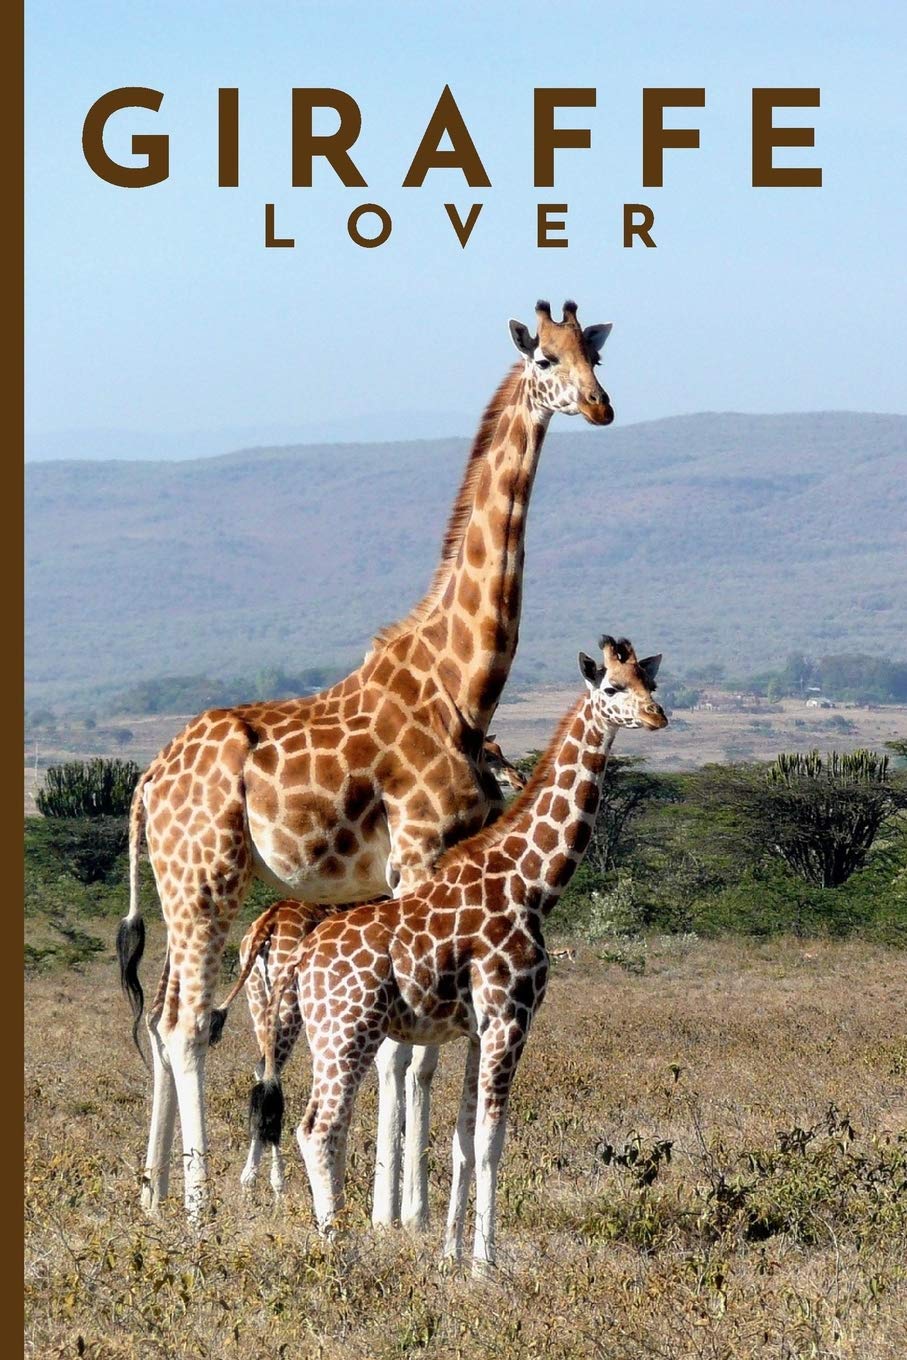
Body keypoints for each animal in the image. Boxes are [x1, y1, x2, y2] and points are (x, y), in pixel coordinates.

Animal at [210, 737, 528, 1194]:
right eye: (490, 753)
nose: (517, 778)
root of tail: (266, 926)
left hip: (259, 1000)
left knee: (261, 1070)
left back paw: (254, 1176)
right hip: (289, 1009)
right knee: (272, 1074)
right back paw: (274, 1179)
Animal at [250, 636, 667, 1274]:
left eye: (653, 683)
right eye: (613, 687)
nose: (657, 716)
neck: (531, 883)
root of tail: (300, 959)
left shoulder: (476, 1029)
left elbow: (464, 1140)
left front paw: (451, 1252)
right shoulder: (509, 1018)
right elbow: (493, 1140)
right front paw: (484, 1263)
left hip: (321, 1032)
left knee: (310, 1121)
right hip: (348, 1032)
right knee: (318, 1127)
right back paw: (338, 1246)